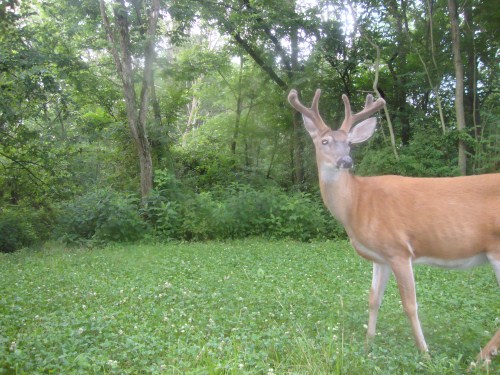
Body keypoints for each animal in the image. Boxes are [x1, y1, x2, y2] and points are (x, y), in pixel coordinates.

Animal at [288, 88, 500, 364]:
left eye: (349, 143)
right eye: (325, 142)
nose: (346, 161)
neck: (356, 203)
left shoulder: (399, 249)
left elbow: (409, 304)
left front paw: (425, 353)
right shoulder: (381, 257)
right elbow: (373, 298)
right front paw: (368, 344)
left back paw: (479, 358)